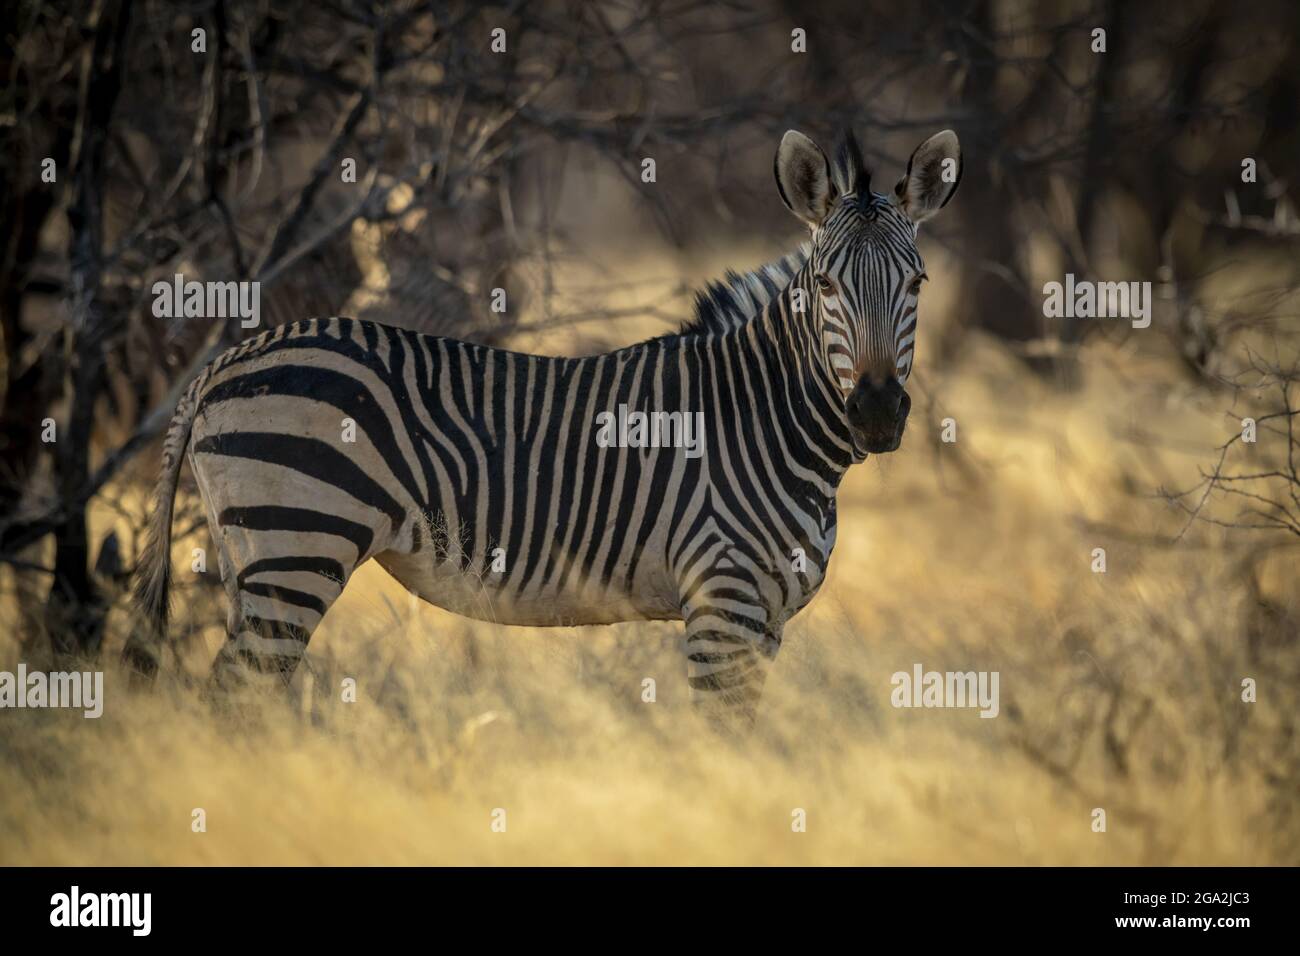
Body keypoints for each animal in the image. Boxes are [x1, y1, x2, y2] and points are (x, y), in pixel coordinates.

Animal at [124, 128, 961, 727]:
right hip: (296, 547)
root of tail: (227, 357)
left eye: (919, 283)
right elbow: (725, 746)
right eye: (826, 286)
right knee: (233, 702)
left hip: (253, 558)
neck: (767, 419)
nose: (877, 413)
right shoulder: (722, 606)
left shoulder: (765, 622)